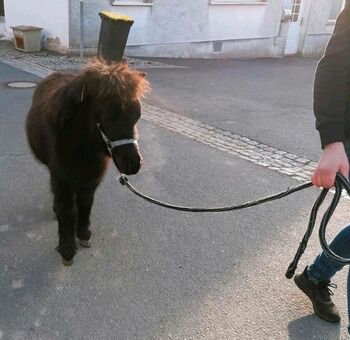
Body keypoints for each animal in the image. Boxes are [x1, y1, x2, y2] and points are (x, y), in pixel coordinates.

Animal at [25, 57, 149, 266]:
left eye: (137, 116)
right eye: (109, 118)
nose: (133, 164)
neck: (83, 147)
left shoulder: (91, 178)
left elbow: (86, 203)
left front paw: (83, 234)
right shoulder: (62, 178)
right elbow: (68, 210)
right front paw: (67, 250)